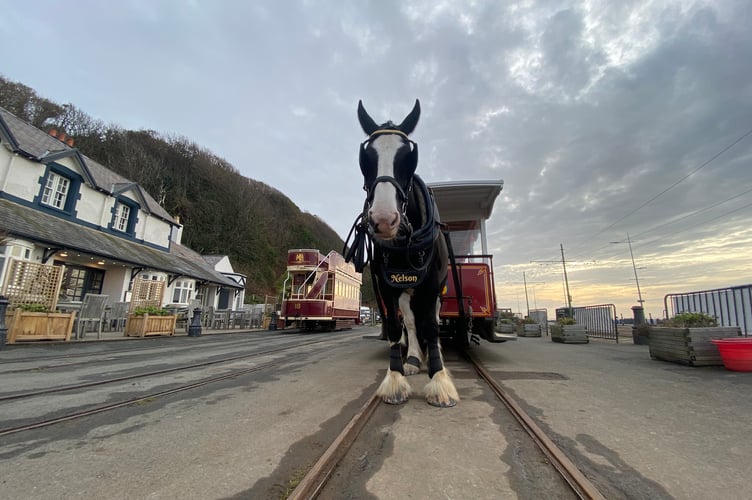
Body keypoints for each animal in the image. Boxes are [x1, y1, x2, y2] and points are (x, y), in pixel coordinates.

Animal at [352, 98, 458, 406]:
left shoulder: (432, 284)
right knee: (410, 320)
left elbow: (432, 326)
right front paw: (396, 378)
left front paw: (439, 380)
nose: (384, 219)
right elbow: (395, 325)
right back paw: (412, 358)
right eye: (366, 158)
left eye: (409, 157)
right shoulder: (386, 285)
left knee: (433, 319)